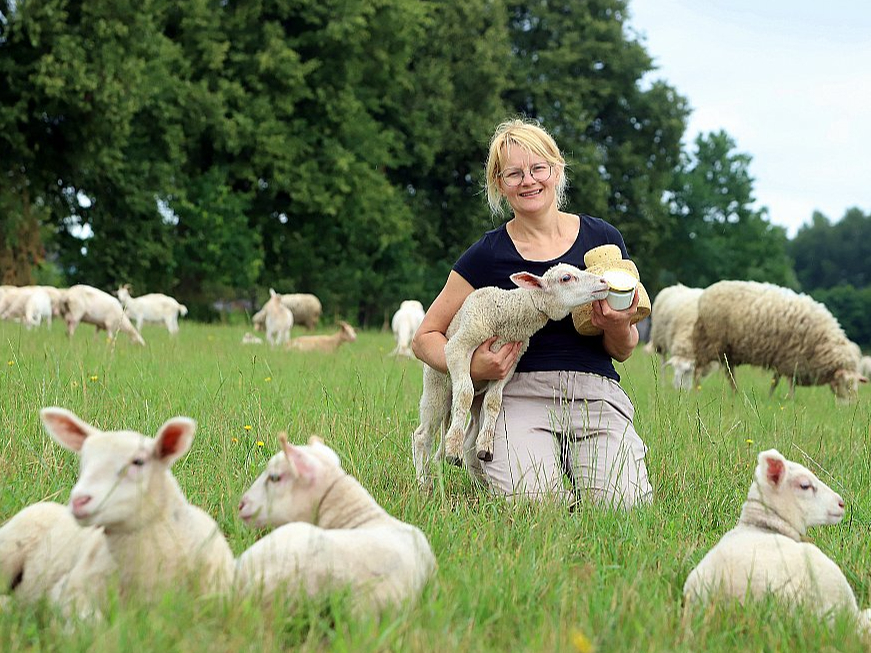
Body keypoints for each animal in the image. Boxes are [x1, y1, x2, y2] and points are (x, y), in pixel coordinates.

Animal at [410, 260, 608, 484]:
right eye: (566, 278)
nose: (604, 281)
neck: (507, 313)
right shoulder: (459, 346)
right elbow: (465, 394)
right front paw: (453, 449)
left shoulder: (508, 366)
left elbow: (494, 402)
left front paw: (486, 447)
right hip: (437, 386)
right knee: (423, 435)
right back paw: (424, 483)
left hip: (474, 400)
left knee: (470, 434)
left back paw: (479, 482)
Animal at [692, 282, 868, 402]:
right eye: (846, 384)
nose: (851, 405)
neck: (822, 344)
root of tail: (705, 294)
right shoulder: (792, 359)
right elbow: (789, 383)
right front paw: (789, 399)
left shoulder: (782, 358)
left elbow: (775, 381)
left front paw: (771, 397)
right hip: (709, 342)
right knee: (698, 369)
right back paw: (695, 390)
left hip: (727, 351)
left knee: (729, 374)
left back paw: (735, 392)